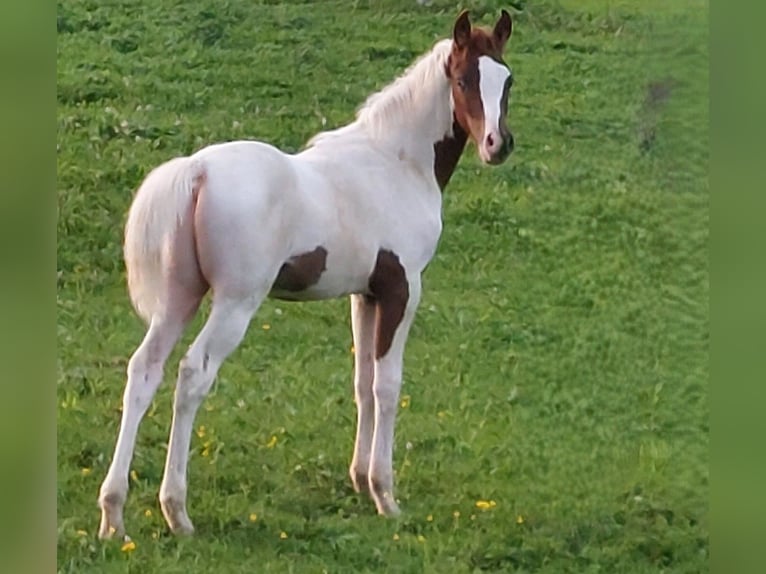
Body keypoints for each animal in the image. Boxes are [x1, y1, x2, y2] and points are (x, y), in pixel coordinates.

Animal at [98, 9, 515, 539]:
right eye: (463, 79)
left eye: (507, 80)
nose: (498, 144)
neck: (396, 163)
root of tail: (197, 171)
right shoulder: (403, 290)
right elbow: (387, 385)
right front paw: (385, 494)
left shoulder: (365, 295)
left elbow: (361, 381)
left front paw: (359, 480)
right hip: (235, 303)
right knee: (193, 375)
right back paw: (177, 511)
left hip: (180, 297)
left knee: (143, 371)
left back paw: (113, 514)